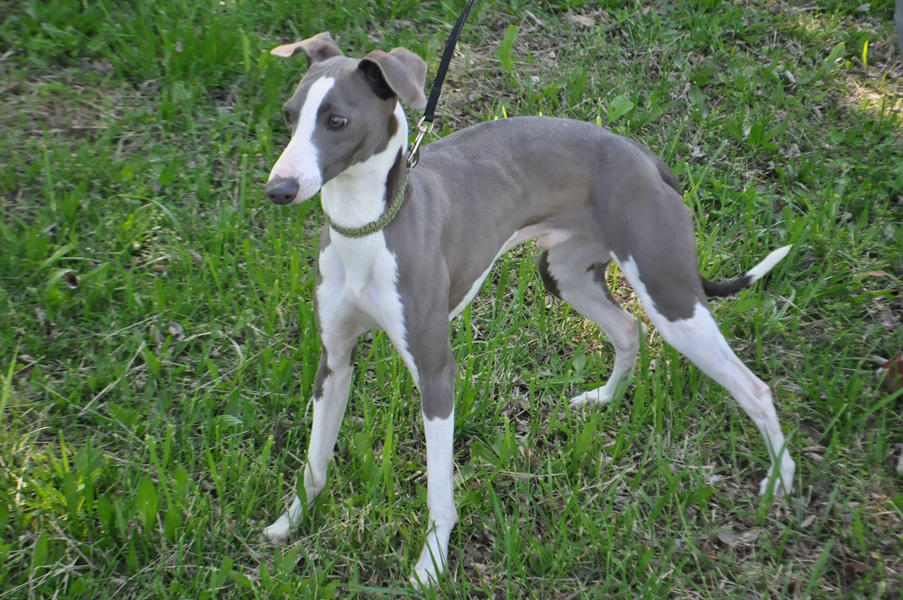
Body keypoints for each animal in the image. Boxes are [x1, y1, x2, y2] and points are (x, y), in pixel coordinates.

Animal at [262, 31, 800, 584]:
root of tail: (645, 157)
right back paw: (603, 399)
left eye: (337, 121)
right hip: (566, 275)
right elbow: (315, 461)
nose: (278, 189)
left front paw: (431, 564)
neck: (367, 228)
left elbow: (439, 493)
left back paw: (779, 481)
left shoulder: (435, 371)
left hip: (671, 297)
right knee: (628, 329)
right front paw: (291, 523)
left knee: (754, 388)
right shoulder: (334, 360)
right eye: (289, 115)